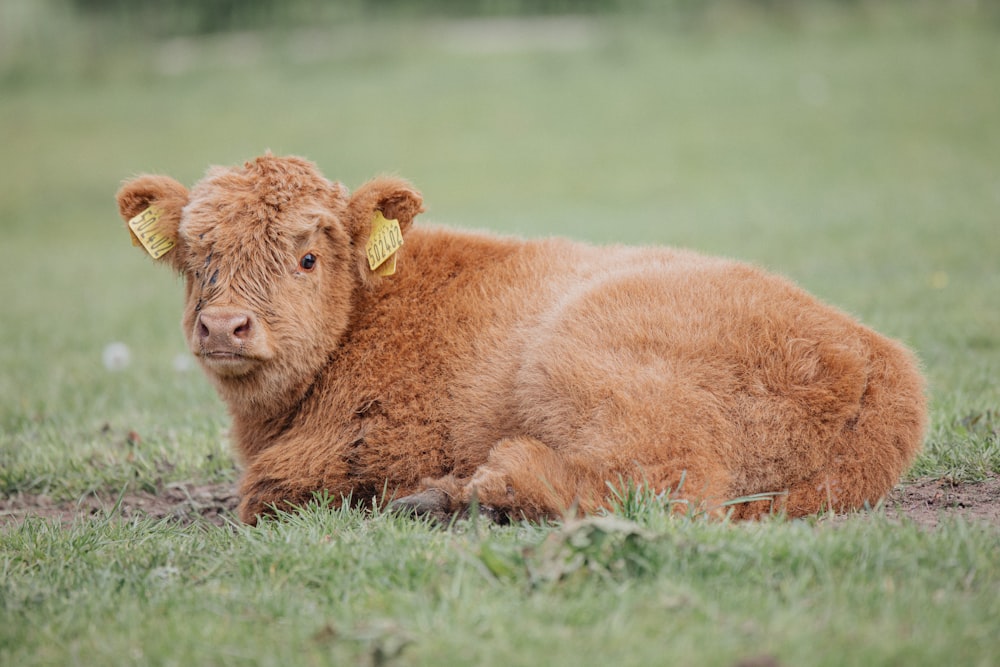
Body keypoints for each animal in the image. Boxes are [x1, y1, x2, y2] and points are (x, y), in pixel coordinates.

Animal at [119, 154, 928, 524]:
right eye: (197, 257)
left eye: (308, 257)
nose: (224, 326)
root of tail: (877, 357)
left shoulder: (366, 446)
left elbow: (269, 487)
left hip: (580, 357)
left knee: (664, 484)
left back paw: (473, 488)